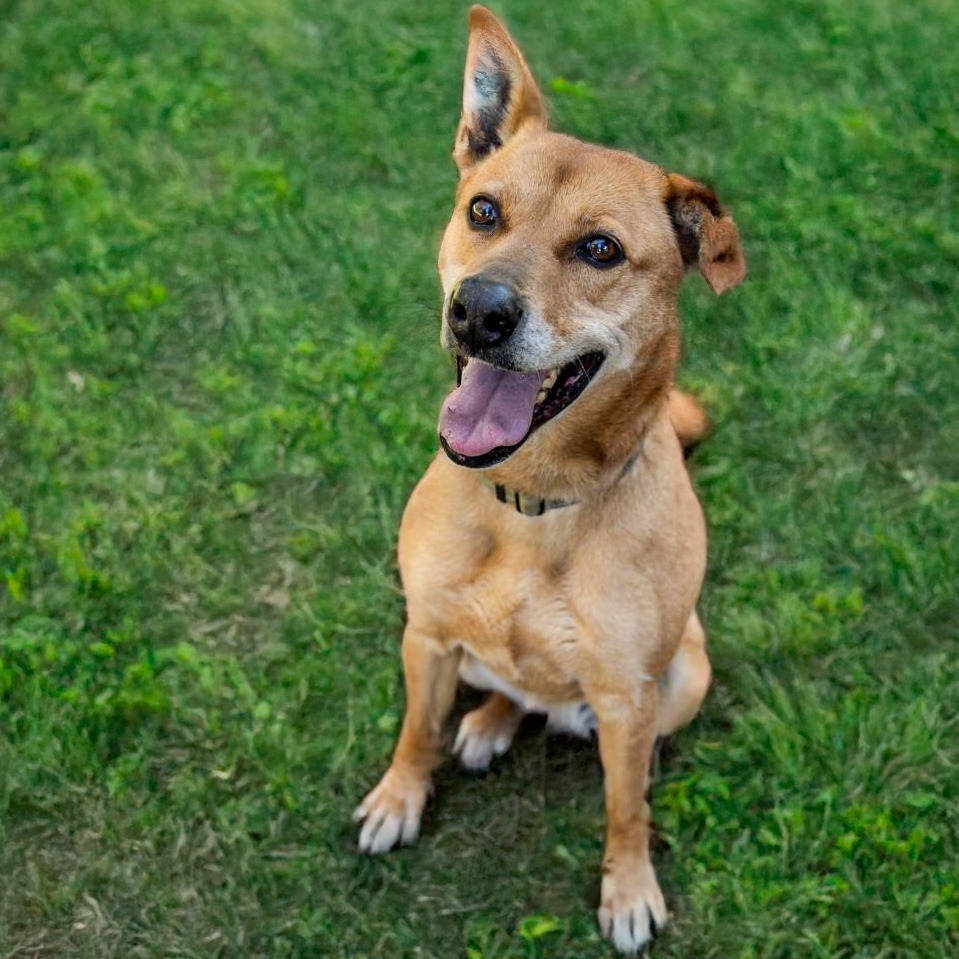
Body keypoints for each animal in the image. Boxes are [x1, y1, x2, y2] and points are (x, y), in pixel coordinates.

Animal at [354, 7, 752, 952]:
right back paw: (487, 722)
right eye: (483, 210)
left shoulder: (626, 694)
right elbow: (413, 731)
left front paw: (628, 886)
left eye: (600, 248)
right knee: (511, 691)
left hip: (683, 673)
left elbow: (623, 808)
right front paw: (398, 796)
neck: (533, 506)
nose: (477, 310)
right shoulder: (425, 636)